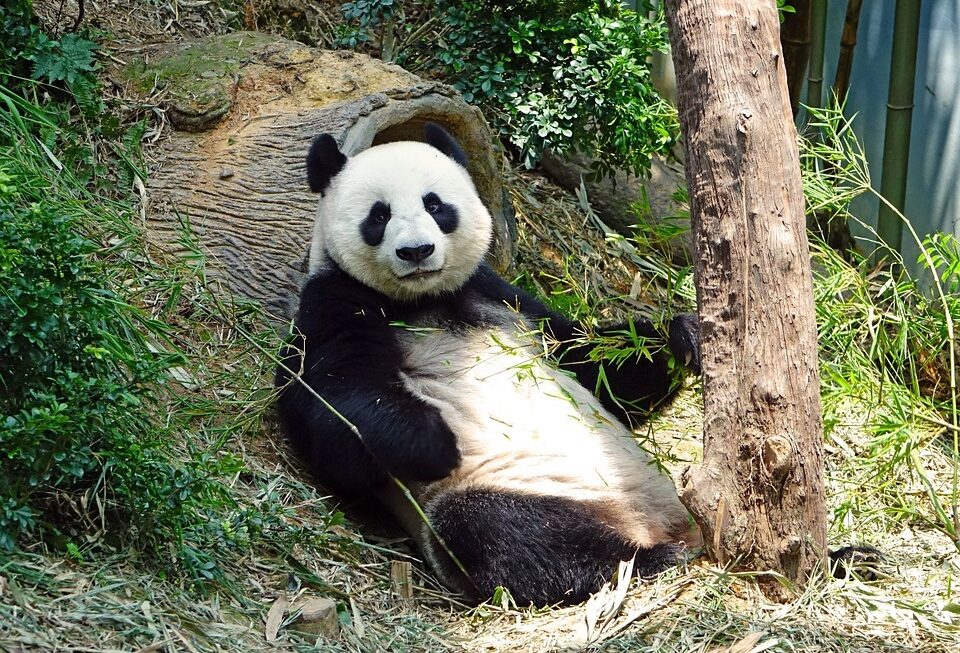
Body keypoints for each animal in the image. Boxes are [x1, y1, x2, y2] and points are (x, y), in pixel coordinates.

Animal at [275, 123, 705, 607]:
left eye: (435, 205)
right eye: (379, 216)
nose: (416, 251)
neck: (423, 300)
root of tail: (645, 521)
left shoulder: (502, 297)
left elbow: (594, 365)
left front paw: (683, 336)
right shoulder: (334, 302)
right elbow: (331, 409)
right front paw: (433, 442)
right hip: (513, 485)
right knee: (505, 532)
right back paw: (645, 559)